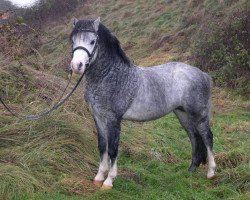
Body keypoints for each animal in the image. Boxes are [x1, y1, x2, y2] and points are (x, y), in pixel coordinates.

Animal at [69, 18, 216, 188]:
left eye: (92, 41)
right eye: (73, 41)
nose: (77, 66)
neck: (112, 76)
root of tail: (202, 74)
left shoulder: (113, 119)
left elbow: (112, 149)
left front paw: (109, 180)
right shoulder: (98, 117)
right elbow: (102, 146)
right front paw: (99, 177)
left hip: (199, 114)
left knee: (207, 137)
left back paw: (211, 172)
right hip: (182, 114)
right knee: (193, 136)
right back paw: (192, 168)